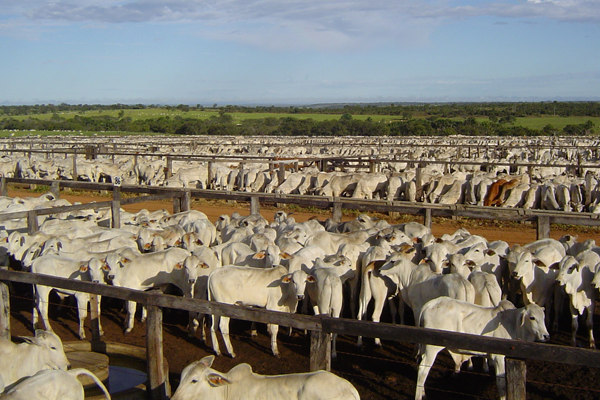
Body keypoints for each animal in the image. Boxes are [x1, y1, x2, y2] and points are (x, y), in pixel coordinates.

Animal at [418, 296, 548, 400]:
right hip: (432, 348)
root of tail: (430, 304)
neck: (513, 324)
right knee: (422, 371)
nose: (546, 335)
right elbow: (501, 384)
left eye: (543, 317)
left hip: (424, 347)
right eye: (532, 317)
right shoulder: (499, 357)